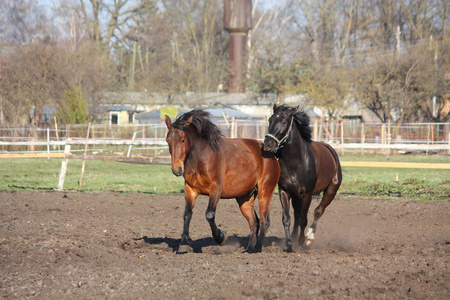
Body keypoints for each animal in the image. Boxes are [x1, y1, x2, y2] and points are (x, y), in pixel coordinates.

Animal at [163, 109, 280, 252]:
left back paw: (257, 248)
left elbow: (209, 214)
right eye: (168, 140)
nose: (177, 169)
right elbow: (187, 214)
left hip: (265, 192)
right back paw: (248, 249)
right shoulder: (190, 189)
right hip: (244, 198)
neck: (202, 158)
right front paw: (184, 244)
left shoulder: (216, 189)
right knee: (254, 221)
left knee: (264, 220)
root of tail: (272, 155)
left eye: (183, 139)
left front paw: (220, 237)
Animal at [262, 104, 342, 252]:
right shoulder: (285, 191)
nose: (268, 144)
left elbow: (303, 219)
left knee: (318, 211)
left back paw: (309, 237)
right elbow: (287, 218)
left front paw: (301, 242)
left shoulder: (307, 194)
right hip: (296, 196)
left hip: (331, 190)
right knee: (297, 214)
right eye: (270, 120)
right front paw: (289, 244)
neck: (295, 161)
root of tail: (330, 150)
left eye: (283, 121)